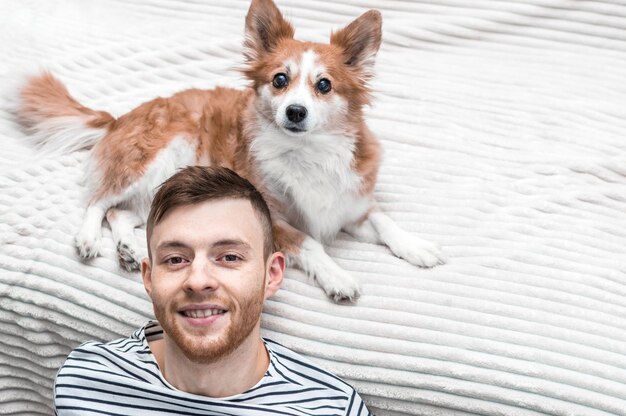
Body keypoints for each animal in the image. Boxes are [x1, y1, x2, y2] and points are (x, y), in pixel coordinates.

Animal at [17, 0, 442, 300]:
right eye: (280, 80)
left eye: (324, 85)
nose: (295, 111)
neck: (308, 152)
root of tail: (119, 118)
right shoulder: (273, 220)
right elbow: (311, 243)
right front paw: (338, 275)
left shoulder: (349, 204)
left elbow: (384, 221)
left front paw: (417, 246)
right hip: (151, 161)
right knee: (98, 202)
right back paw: (89, 240)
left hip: (161, 194)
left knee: (120, 214)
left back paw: (128, 248)